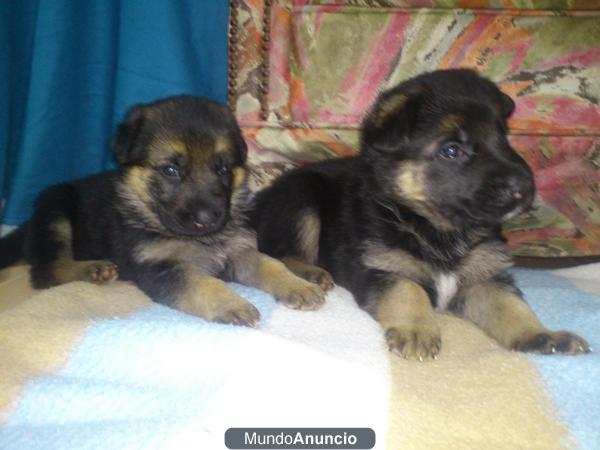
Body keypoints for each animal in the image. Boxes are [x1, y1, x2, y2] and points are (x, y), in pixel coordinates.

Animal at [0, 96, 326, 326]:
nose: (208, 219)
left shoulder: (238, 252)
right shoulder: (159, 267)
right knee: (46, 272)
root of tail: (28, 225)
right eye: (171, 170)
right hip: (55, 212)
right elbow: (200, 282)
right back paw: (93, 269)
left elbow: (271, 264)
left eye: (221, 168)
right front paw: (232, 304)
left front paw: (297, 285)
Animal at [253, 69, 592, 358]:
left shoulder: (483, 280)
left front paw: (542, 336)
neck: (435, 226)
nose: (526, 188)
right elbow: (409, 289)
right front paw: (416, 329)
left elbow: (512, 307)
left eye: (503, 137)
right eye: (452, 150)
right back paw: (311, 272)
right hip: (301, 201)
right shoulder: (383, 269)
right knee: (280, 251)